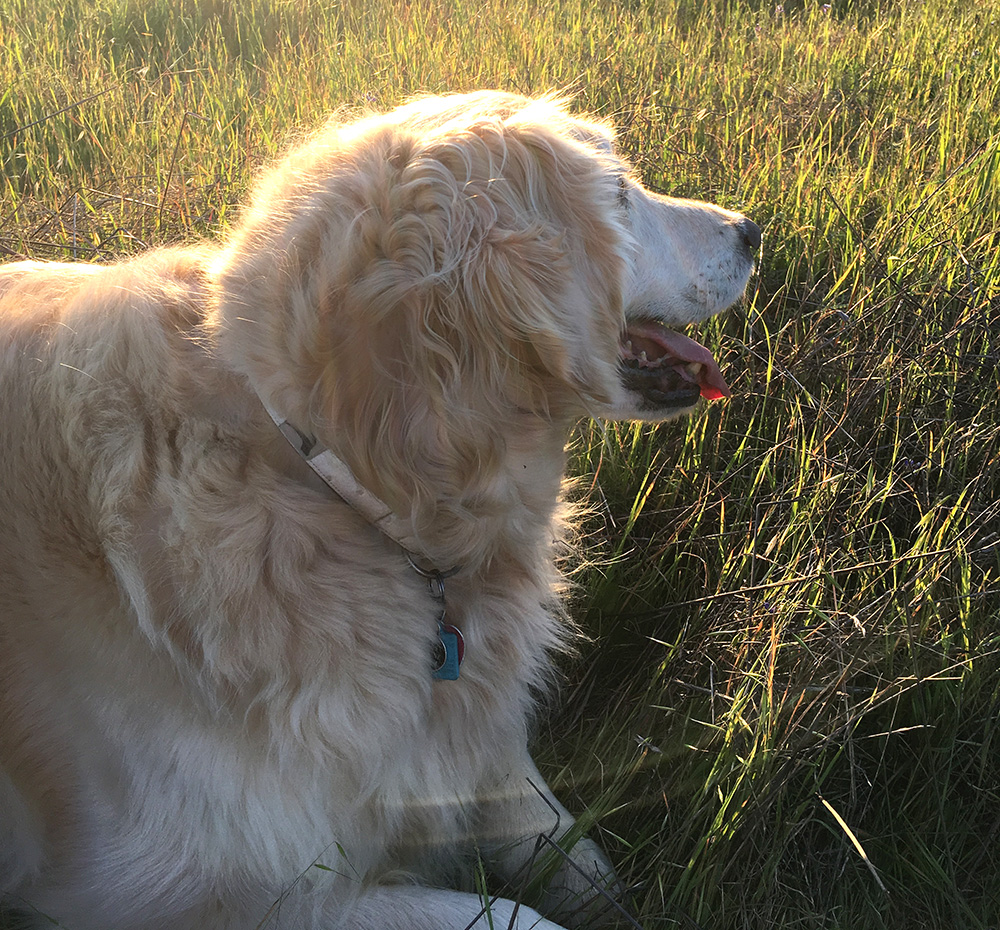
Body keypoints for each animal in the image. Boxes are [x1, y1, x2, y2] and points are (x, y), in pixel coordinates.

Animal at [0, 89, 756, 928]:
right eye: (620, 193)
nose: (751, 231)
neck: (336, 484)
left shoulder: (468, 742)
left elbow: (567, 845)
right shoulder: (239, 894)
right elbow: (518, 914)